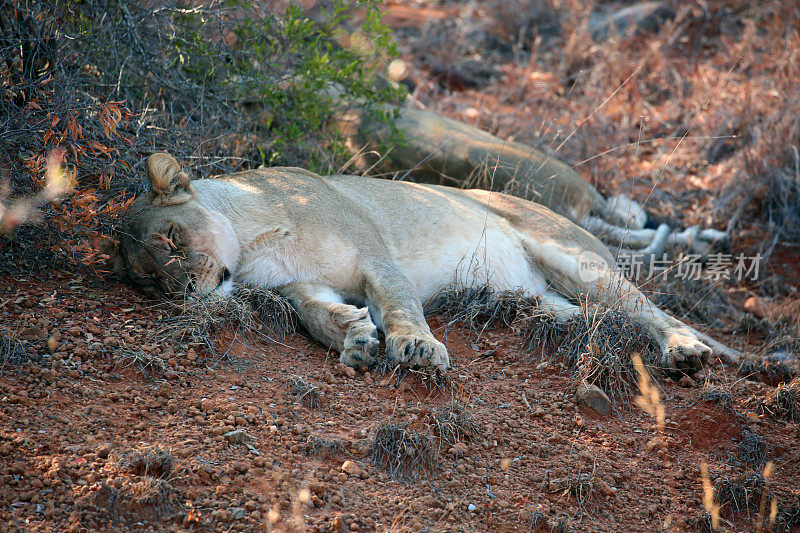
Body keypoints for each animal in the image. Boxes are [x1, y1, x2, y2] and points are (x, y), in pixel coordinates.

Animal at [108, 152, 720, 372]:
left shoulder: (376, 254)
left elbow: (399, 304)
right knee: (596, 316)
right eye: (150, 282)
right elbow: (318, 315)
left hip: (572, 256)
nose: (185, 291)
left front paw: (416, 347)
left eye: (172, 239)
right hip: (542, 298)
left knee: (649, 308)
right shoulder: (299, 287)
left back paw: (685, 350)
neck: (254, 243)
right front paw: (355, 340)